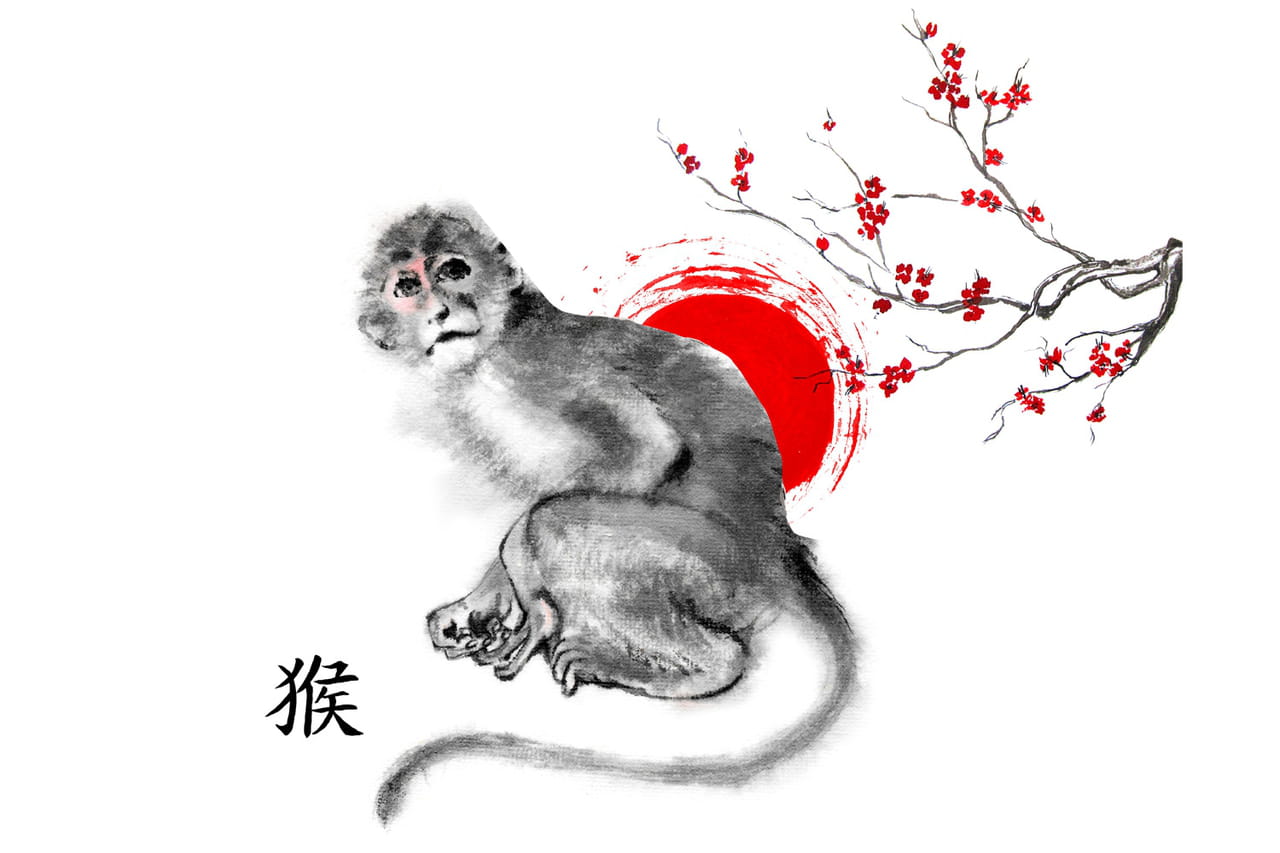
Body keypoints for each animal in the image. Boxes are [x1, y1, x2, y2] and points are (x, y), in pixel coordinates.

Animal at [357, 203, 858, 823]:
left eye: (453, 270)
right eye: (406, 287)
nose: (442, 310)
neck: (492, 352)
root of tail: (783, 549)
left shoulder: (543, 367)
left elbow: (647, 452)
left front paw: (519, 577)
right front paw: (484, 602)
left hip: (718, 569)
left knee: (558, 524)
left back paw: (696, 666)